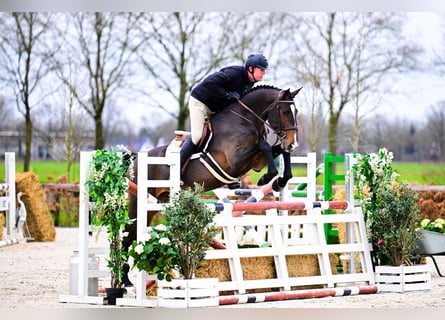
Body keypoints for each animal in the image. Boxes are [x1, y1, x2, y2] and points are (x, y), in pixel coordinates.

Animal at [121, 84, 302, 284]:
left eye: (296, 111)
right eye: (285, 111)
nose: (293, 144)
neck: (245, 120)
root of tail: (136, 159)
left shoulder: (256, 162)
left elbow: (277, 151)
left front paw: (280, 180)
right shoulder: (236, 160)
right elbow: (265, 146)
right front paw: (267, 177)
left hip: (155, 204)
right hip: (139, 201)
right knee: (127, 237)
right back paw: (125, 281)